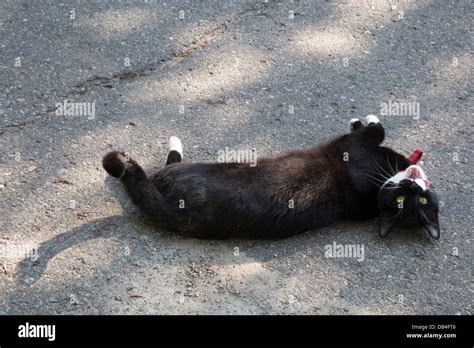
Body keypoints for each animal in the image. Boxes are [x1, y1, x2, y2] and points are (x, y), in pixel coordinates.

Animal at [102, 116, 438, 239]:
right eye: (408, 199)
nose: (410, 184)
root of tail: (171, 212)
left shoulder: (348, 148)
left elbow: (376, 129)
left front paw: (366, 120)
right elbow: (373, 129)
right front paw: (360, 120)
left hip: (182, 173)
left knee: (156, 169)